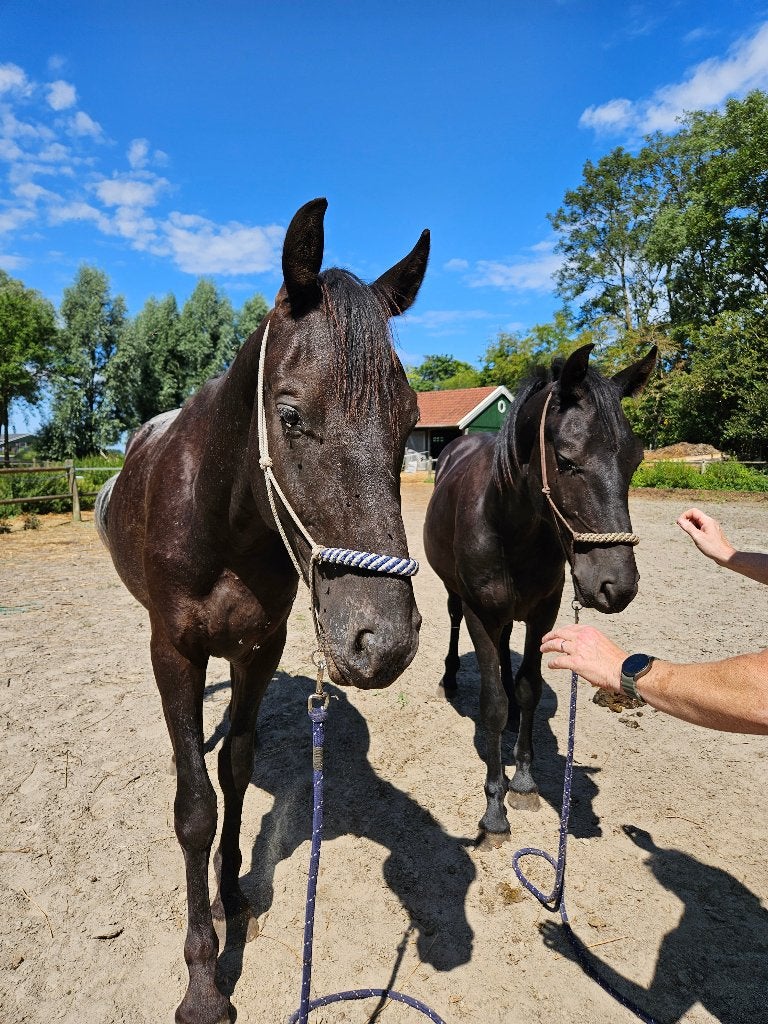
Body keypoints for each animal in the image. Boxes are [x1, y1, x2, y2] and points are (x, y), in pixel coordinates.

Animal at [96, 198, 429, 1024]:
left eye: (410, 420)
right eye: (290, 413)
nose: (383, 639)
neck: (226, 520)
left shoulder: (261, 648)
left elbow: (238, 772)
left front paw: (233, 896)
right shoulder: (174, 652)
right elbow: (195, 805)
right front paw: (203, 983)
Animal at [423, 343, 656, 840]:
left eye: (635, 462)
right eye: (566, 461)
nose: (617, 586)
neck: (509, 526)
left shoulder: (543, 612)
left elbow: (529, 688)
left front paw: (525, 781)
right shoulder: (480, 614)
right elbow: (490, 704)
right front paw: (494, 808)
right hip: (457, 597)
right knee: (453, 621)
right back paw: (450, 678)